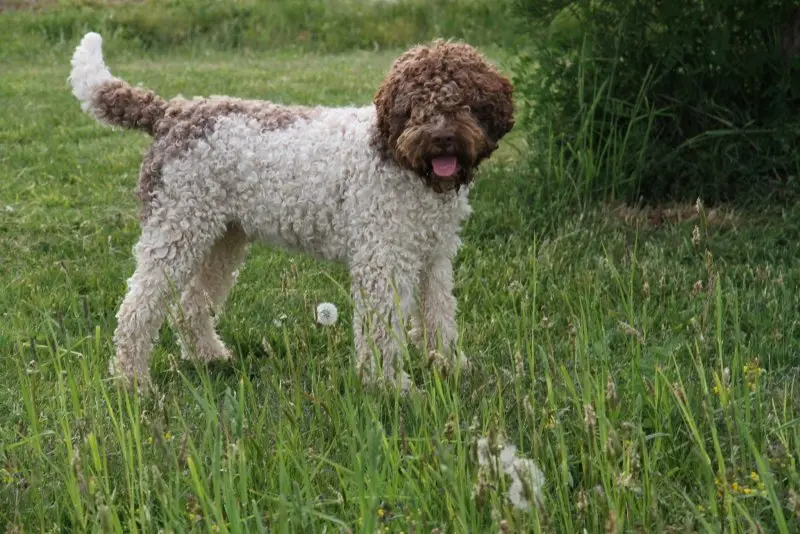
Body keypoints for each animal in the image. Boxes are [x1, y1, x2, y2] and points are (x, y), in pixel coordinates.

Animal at [72, 32, 516, 394]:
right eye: (415, 105)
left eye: (464, 102)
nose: (441, 139)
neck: (402, 162)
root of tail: (172, 112)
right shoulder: (382, 261)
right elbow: (382, 331)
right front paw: (389, 388)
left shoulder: (434, 256)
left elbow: (440, 317)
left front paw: (450, 368)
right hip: (176, 229)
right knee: (136, 310)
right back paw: (132, 382)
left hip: (222, 237)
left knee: (190, 305)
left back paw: (210, 357)